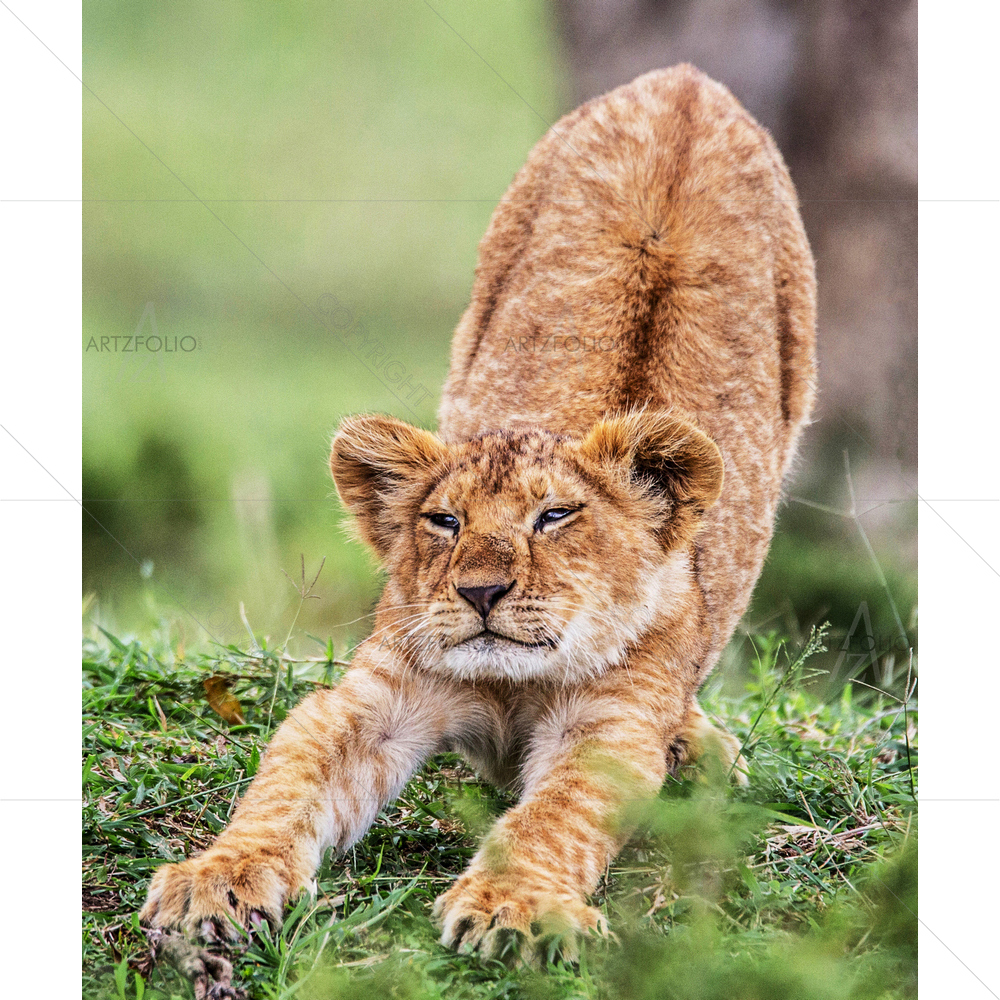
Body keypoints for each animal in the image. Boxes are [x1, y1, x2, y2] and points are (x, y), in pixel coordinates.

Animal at [140, 64, 816, 972]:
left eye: (555, 516)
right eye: (445, 522)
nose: (482, 595)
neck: (508, 684)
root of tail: (683, 83)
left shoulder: (609, 725)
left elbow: (554, 818)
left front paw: (512, 906)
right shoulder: (379, 695)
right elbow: (286, 784)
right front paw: (214, 882)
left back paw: (698, 748)